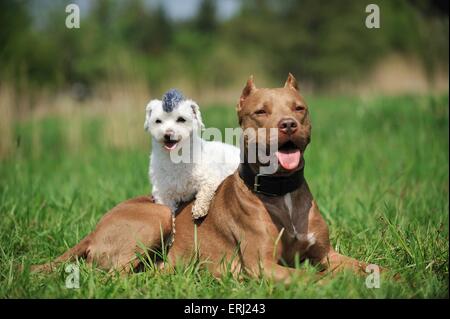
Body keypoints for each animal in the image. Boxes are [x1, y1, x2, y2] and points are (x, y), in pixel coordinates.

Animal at [146, 89, 241, 221]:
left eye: (181, 119)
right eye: (158, 121)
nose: (168, 134)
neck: (177, 158)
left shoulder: (211, 178)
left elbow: (205, 191)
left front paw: (199, 209)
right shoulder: (162, 192)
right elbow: (166, 210)